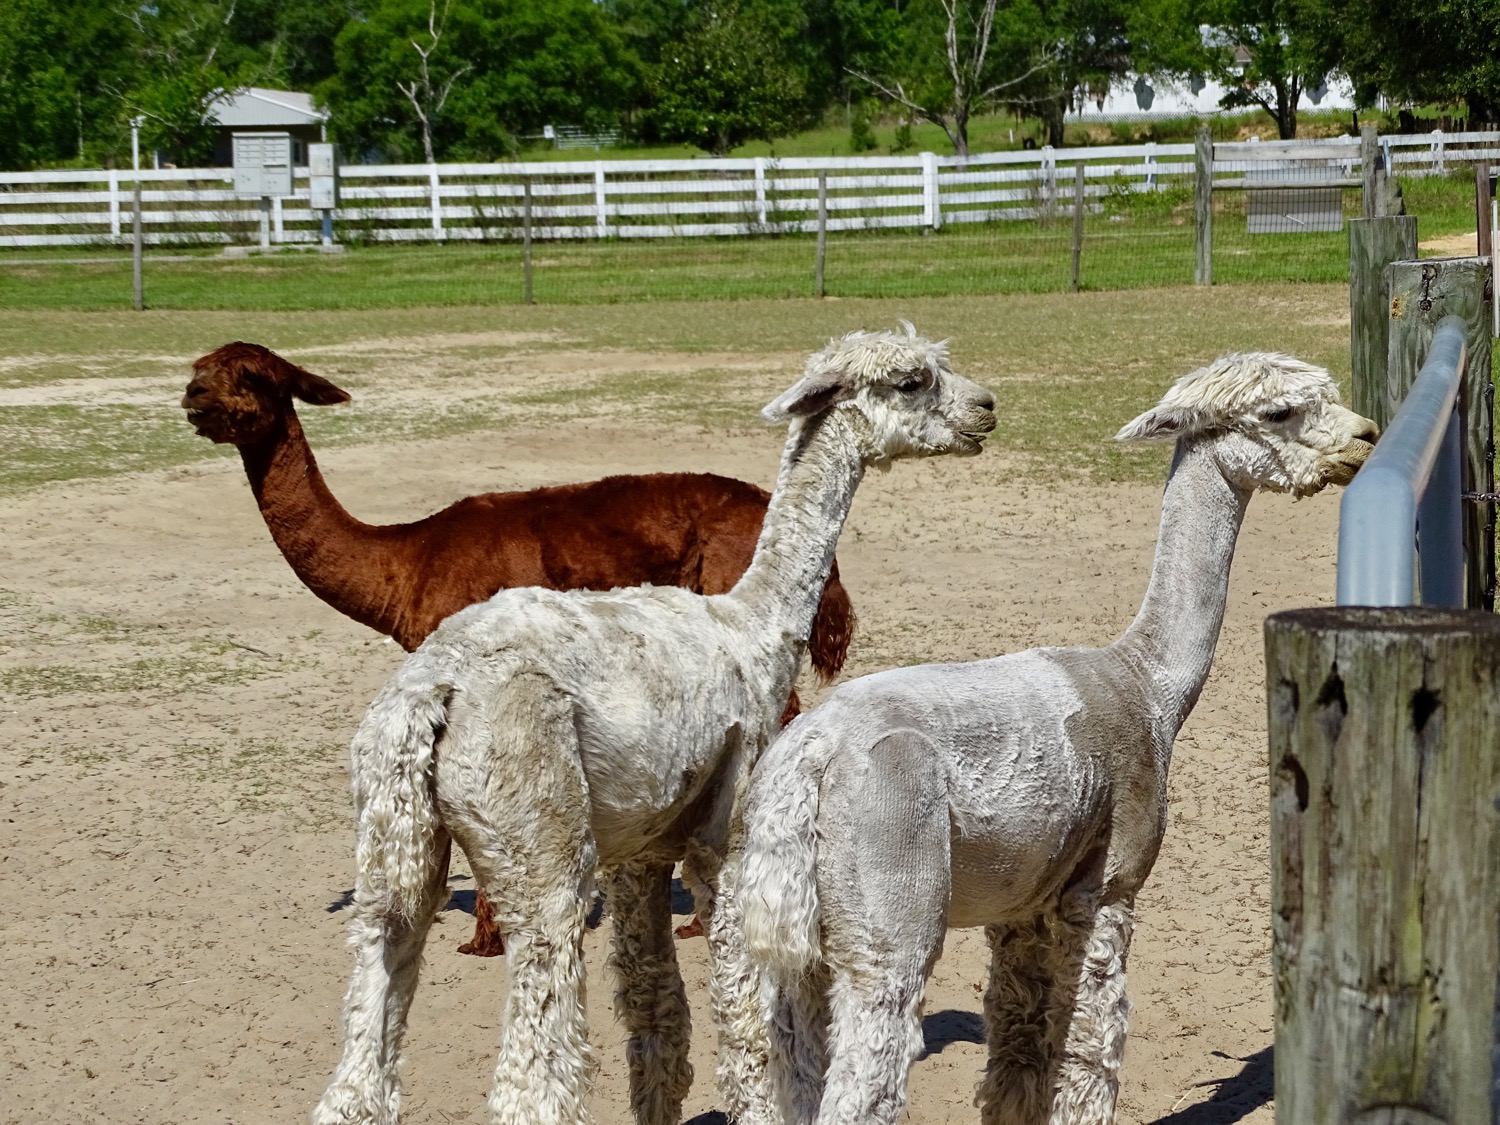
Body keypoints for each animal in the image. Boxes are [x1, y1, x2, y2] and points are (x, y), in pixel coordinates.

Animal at [312, 326, 998, 1125]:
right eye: (913, 380)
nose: (986, 408)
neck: (754, 626)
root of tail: (435, 690)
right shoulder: (726, 840)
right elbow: (748, 1021)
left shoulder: (639, 852)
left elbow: (655, 1011)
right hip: (536, 837)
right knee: (532, 1072)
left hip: (395, 847)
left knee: (366, 1034)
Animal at [739, 353, 1378, 1125]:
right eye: (1281, 412)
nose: (1365, 436)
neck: (1147, 682)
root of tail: (808, 762)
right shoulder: (1105, 885)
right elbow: (1087, 1055)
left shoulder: (1023, 904)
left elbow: (1017, 1055)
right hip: (888, 905)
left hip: (793, 946)